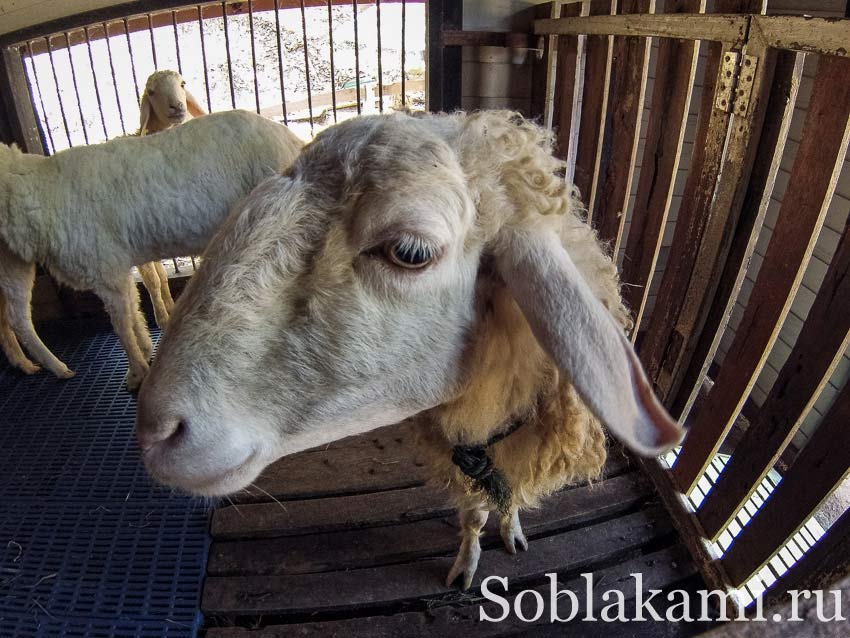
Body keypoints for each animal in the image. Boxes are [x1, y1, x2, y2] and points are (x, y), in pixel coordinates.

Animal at [0, 110, 304, 390]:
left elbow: (122, 326)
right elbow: (133, 311)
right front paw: (146, 350)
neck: (41, 190)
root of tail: (292, 139)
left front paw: (135, 373)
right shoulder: (116, 269)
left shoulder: (105, 270)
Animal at [137, 110, 684, 592]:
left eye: (410, 252)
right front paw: (468, 559)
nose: (157, 431)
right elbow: (474, 510)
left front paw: (510, 525)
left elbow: (506, 496)